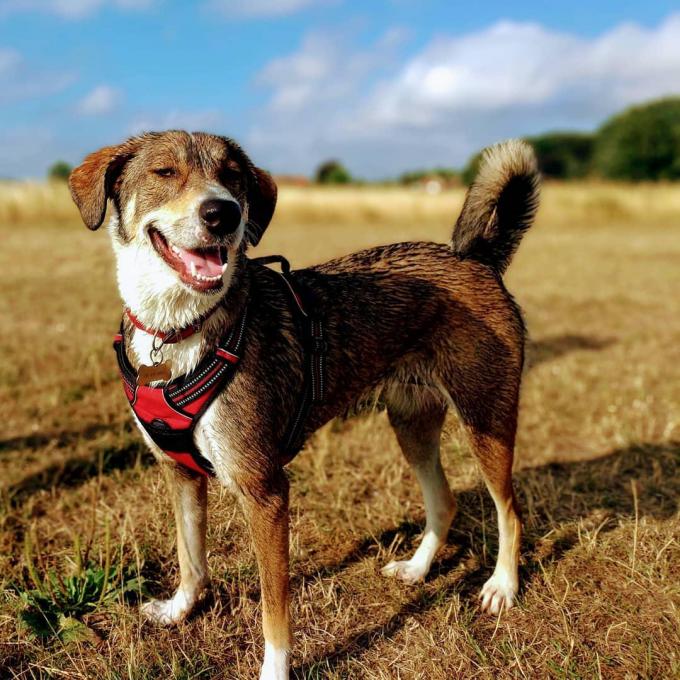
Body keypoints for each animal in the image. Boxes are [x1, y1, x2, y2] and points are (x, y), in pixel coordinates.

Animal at [71, 130, 540, 676]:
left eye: (232, 175)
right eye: (164, 172)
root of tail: (476, 258)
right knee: (443, 501)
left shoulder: (265, 492)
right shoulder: (180, 472)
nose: (224, 213)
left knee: (509, 510)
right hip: (412, 424)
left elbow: (275, 610)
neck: (179, 328)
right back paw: (418, 568)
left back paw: (502, 586)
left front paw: (274, 670)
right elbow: (191, 558)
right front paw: (179, 610)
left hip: (486, 418)